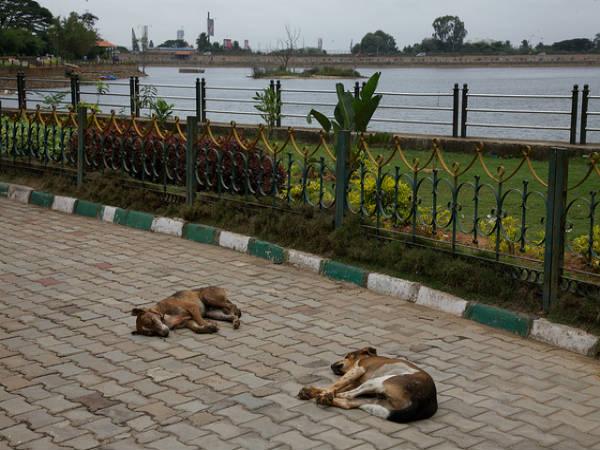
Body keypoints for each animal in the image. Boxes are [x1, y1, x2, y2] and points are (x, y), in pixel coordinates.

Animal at [298, 346, 436, 424]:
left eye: (347, 356)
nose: (331, 365)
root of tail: (424, 400)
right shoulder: (354, 381)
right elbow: (333, 387)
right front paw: (311, 391)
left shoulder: (358, 369)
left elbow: (335, 385)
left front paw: (324, 393)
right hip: (378, 402)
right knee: (348, 403)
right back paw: (327, 399)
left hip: (377, 381)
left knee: (348, 396)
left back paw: (326, 398)